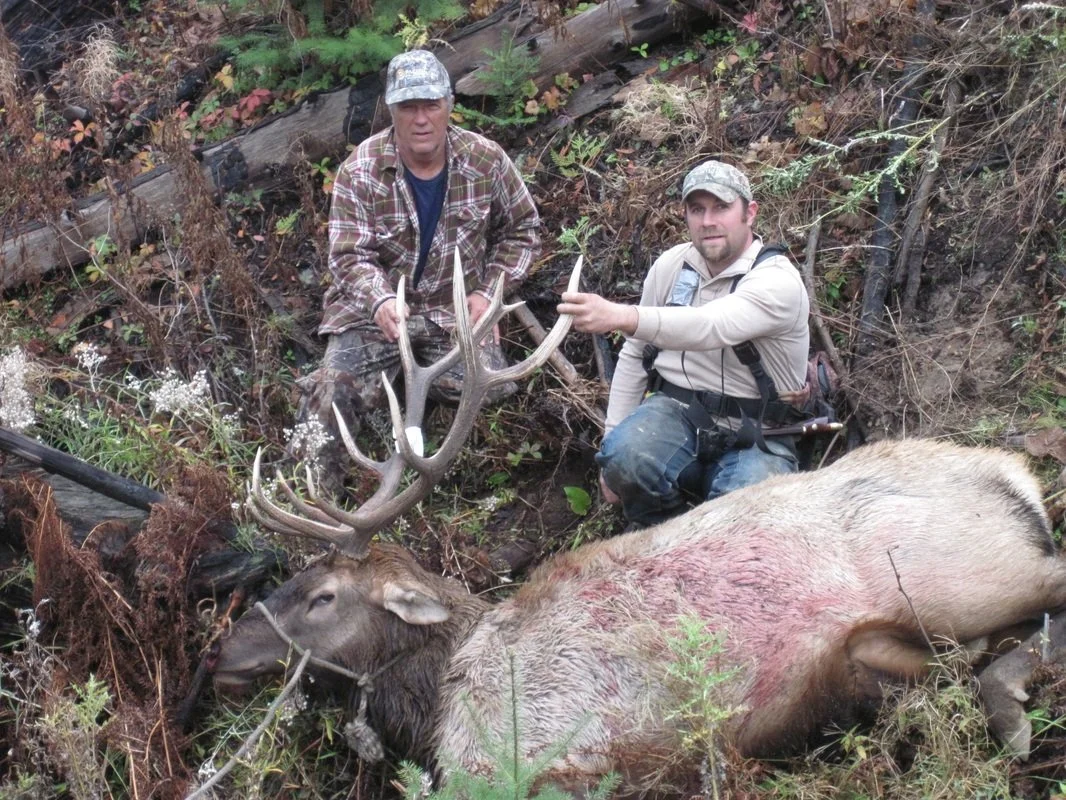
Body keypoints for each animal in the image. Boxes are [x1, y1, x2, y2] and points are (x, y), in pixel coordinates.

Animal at [209, 256, 1066, 794]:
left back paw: (1010, 709)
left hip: (949, 572)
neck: (440, 694)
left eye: (322, 595)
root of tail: (1011, 476)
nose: (222, 653)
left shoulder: (547, 749)